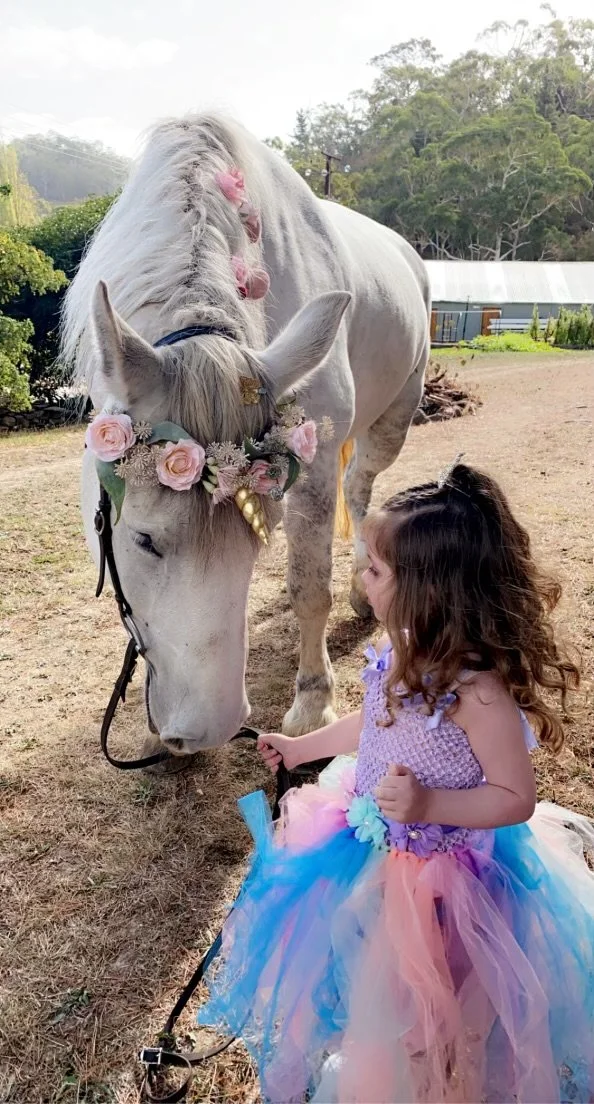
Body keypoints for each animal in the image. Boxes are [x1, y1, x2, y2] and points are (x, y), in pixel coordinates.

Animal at [62, 113, 430, 757]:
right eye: (143, 540)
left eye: (259, 539)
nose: (206, 731)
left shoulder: (314, 463)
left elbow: (309, 586)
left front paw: (313, 704)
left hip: (393, 419)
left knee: (361, 488)